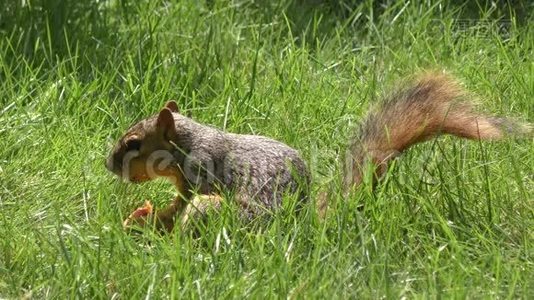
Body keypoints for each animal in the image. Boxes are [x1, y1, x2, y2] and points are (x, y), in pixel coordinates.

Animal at [108, 72, 532, 232]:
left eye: (133, 144)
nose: (109, 164)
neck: (188, 143)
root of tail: (300, 224)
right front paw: (139, 216)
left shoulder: (198, 177)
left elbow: (176, 208)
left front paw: (143, 222)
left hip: (215, 210)